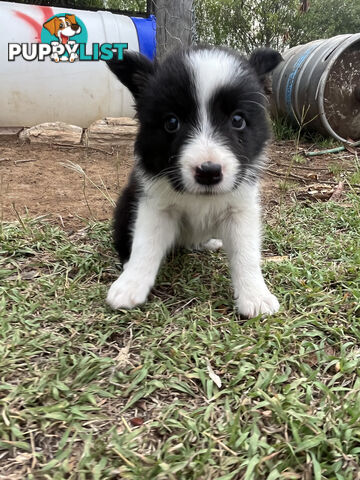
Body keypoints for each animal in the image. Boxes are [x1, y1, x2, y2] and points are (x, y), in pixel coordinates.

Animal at [105, 44, 282, 316]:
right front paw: (130, 285)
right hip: (126, 204)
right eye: (171, 122)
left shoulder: (240, 209)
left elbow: (247, 253)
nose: (209, 171)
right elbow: (145, 245)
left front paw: (255, 295)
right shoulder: (156, 206)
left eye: (238, 120)